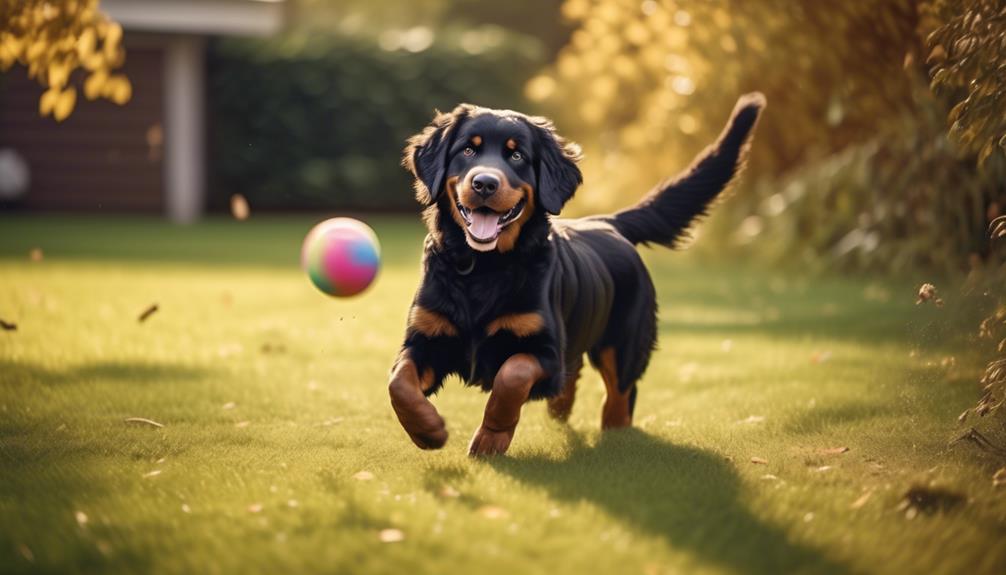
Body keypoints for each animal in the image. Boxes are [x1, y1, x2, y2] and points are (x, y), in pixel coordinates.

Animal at [388, 91, 764, 456]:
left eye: (517, 156)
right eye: (468, 149)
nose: (484, 183)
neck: (484, 268)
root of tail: (608, 222)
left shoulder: (546, 353)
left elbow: (512, 375)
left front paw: (491, 438)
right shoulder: (425, 338)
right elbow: (399, 382)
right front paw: (428, 429)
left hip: (623, 343)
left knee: (620, 394)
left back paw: (614, 435)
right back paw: (560, 411)